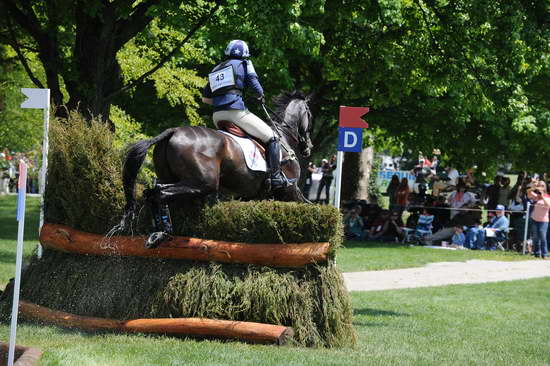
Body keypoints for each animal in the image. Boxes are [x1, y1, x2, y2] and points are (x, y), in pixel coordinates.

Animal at [121, 90, 314, 247]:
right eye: (310, 115)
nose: (309, 147)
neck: (283, 137)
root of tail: (173, 131)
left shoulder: (252, 196)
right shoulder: (290, 190)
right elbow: (308, 204)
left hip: (173, 178)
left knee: (153, 192)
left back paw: (158, 234)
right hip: (203, 183)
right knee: (160, 193)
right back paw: (163, 232)